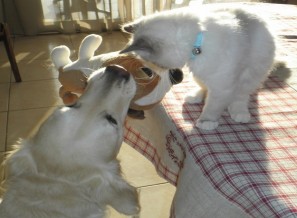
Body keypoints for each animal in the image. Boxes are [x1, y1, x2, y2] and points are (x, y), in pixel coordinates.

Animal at [120, 6, 276, 129]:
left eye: (157, 65)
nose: (159, 70)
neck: (195, 47)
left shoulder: (222, 86)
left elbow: (212, 107)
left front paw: (206, 122)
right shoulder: (204, 74)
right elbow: (208, 95)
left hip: (252, 74)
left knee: (241, 95)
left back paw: (240, 113)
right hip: (197, 76)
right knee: (203, 88)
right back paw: (194, 97)